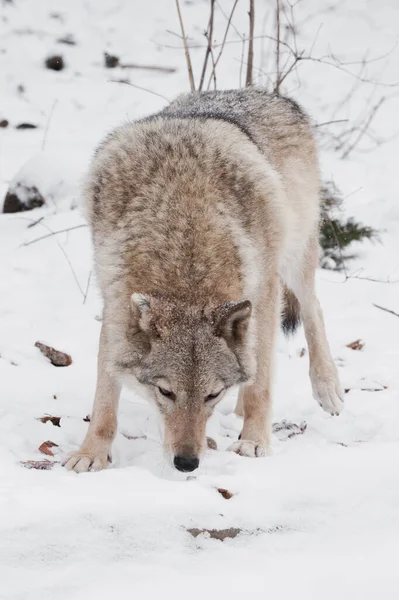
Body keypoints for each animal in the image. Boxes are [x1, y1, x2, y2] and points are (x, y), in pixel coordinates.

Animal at [65, 88, 344, 474]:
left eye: (212, 394)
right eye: (166, 392)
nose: (187, 463)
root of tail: (268, 94)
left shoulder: (264, 290)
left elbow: (261, 384)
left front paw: (255, 441)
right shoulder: (116, 299)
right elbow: (105, 393)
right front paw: (91, 453)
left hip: (292, 257)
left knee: (311, 308)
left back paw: (327, 387)